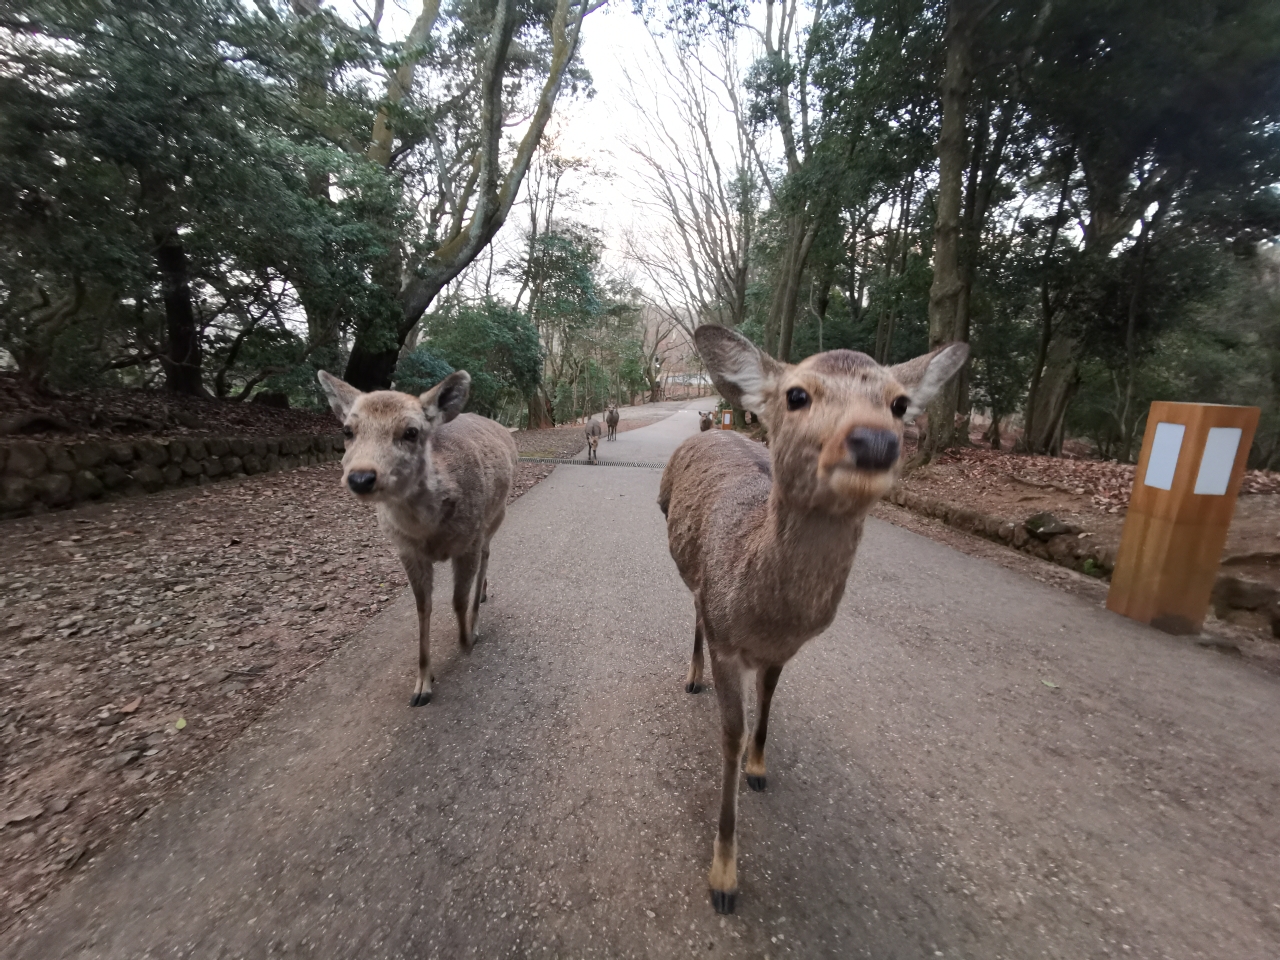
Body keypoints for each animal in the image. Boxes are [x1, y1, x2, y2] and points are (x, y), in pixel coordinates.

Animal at [317, 368, 517, 706]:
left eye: (411, 432)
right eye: (347, 430)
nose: (361, 477)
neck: (428, 532)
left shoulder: (469, 539)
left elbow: (458, 600)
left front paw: (467, 639)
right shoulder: (406, 551)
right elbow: (423, 607)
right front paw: (423, 682)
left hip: (497, 514)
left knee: (488, 555)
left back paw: (479, 607)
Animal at [660, 325, 967, 916]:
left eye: (899, 403)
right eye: (797, 394)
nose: (876, 442)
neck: (766, 615)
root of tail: (710, 431)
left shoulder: (784, 650)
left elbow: (768, 704)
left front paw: (760, 769)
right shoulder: (727, 638)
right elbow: (730, 736)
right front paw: (723, 878)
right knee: (693, 608)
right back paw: (690, 676)